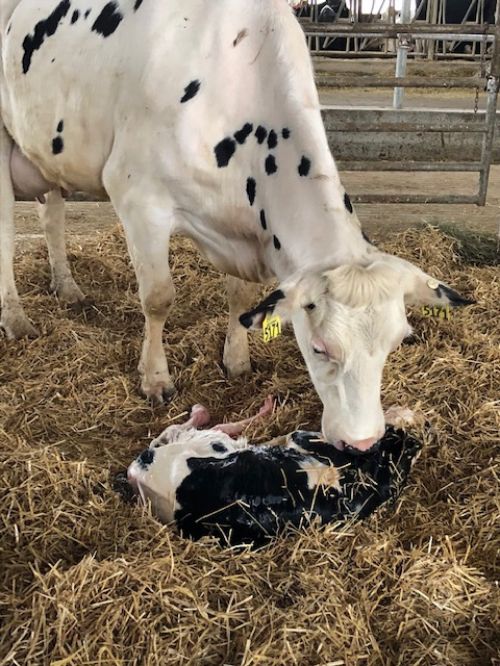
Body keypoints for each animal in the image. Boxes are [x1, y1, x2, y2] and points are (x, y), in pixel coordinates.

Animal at [0, 0, 472, 452]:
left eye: (397, 343)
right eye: (319, 347)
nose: (364, 441)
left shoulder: (246, 232)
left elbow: (241, 297)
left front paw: (238, 360)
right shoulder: (138, 197)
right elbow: (158, 297)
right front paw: (155, 379)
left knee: (51, 216)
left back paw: (67, 287)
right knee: (6, 235)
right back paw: (17, 320)